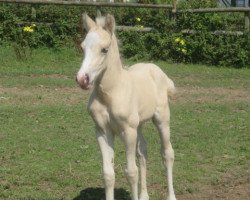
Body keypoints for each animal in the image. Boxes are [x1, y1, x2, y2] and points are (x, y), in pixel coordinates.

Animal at [76, 13, 176, 199]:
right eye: (83, 47)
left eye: (104, 49)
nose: (82, 79)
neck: (112, 92)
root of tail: (159, 72)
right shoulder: (102, 131)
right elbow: (108, 174)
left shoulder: (128, 131)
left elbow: (131, 172)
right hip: (139, 124)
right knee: (143, 152)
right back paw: (144, 195)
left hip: (162, 119)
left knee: (167, 153)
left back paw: (171, 196)